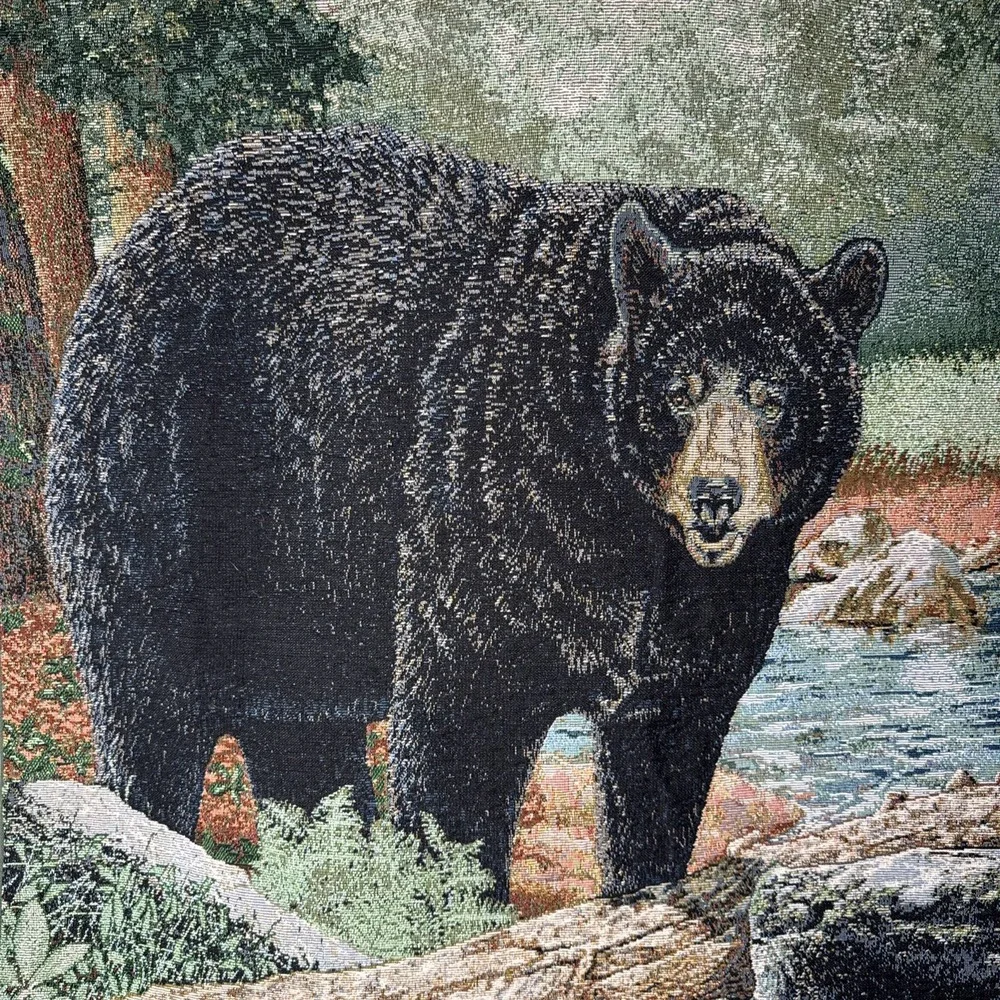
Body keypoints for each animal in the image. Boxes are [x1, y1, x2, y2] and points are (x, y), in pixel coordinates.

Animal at [46, 123, 887, 900]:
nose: (715, 497)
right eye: (681, 387)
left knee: (301, 745)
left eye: (773, 396)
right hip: (158, 485)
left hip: (293, 590)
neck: (629, 522)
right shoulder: (494, 496)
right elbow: (461, 725)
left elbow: (664, 758)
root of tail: (140, 237)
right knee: (152, 713)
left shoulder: (715, 602)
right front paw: (447, 902)